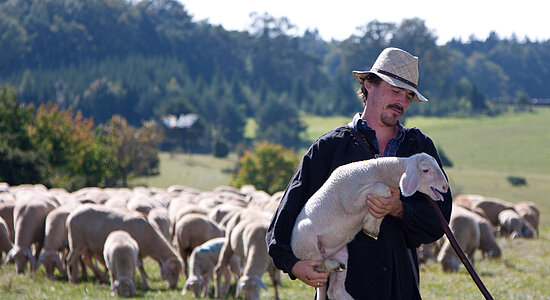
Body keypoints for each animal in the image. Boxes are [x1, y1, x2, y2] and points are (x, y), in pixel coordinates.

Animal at [292, 152, 450, 300]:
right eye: (425, 170)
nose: (445, 186)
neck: (376, 171)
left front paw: (371, 226)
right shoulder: (350, 200)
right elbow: (382, 187)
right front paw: (370, 224)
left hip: (342, 253)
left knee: (334, 291)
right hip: (305, 241)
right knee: (317, 264)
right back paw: (331, 265)